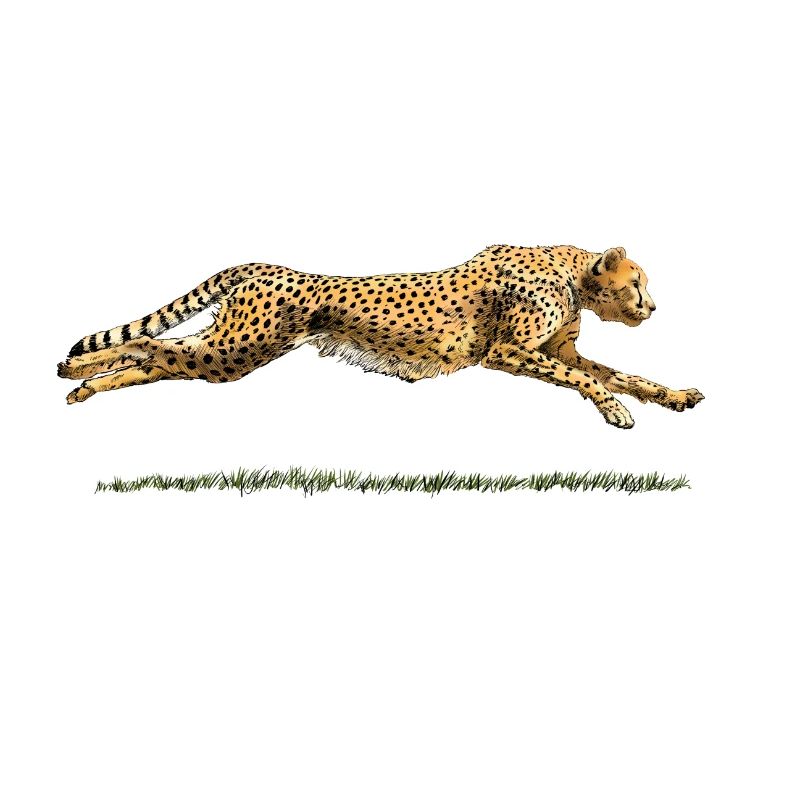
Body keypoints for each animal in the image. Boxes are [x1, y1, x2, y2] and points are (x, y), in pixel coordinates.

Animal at [57, 244, 704, 428]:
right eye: (637, 282)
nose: (653, 306)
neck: (573, 274)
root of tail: (264, 265)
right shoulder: (506, 351)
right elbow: (580, 378)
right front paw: (616, 411)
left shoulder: (554, 349)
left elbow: (621, 374)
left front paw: (673, 395)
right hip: (237, 349)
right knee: (150, 345)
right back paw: (72, 369)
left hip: (229, 353)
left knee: (160, 358)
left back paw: (79, 386)